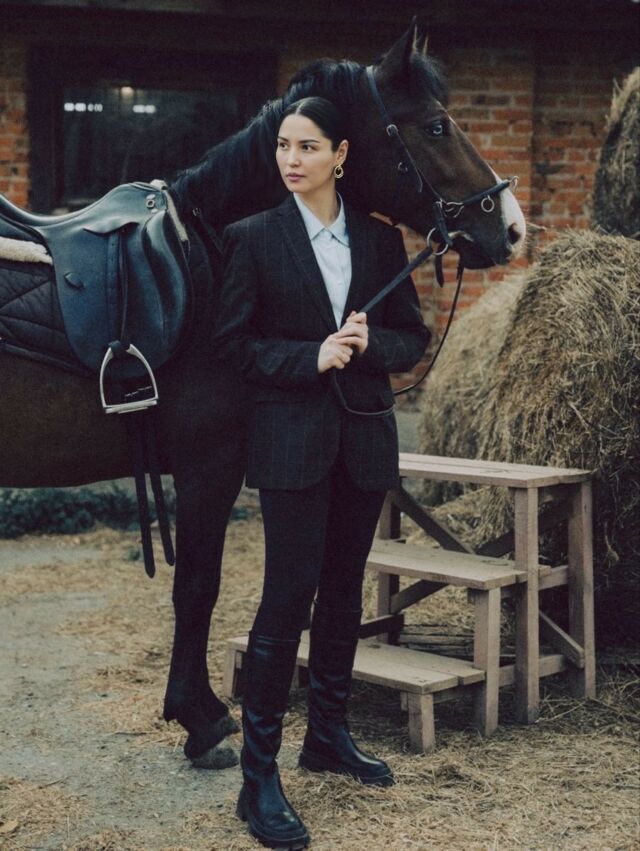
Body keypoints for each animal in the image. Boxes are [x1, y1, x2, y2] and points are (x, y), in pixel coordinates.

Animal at [0, 21, 526, 766]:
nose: (509, 226)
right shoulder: (210, 464)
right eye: (435, 124)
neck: (211, 257)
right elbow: (198, 586)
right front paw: (201, 719)